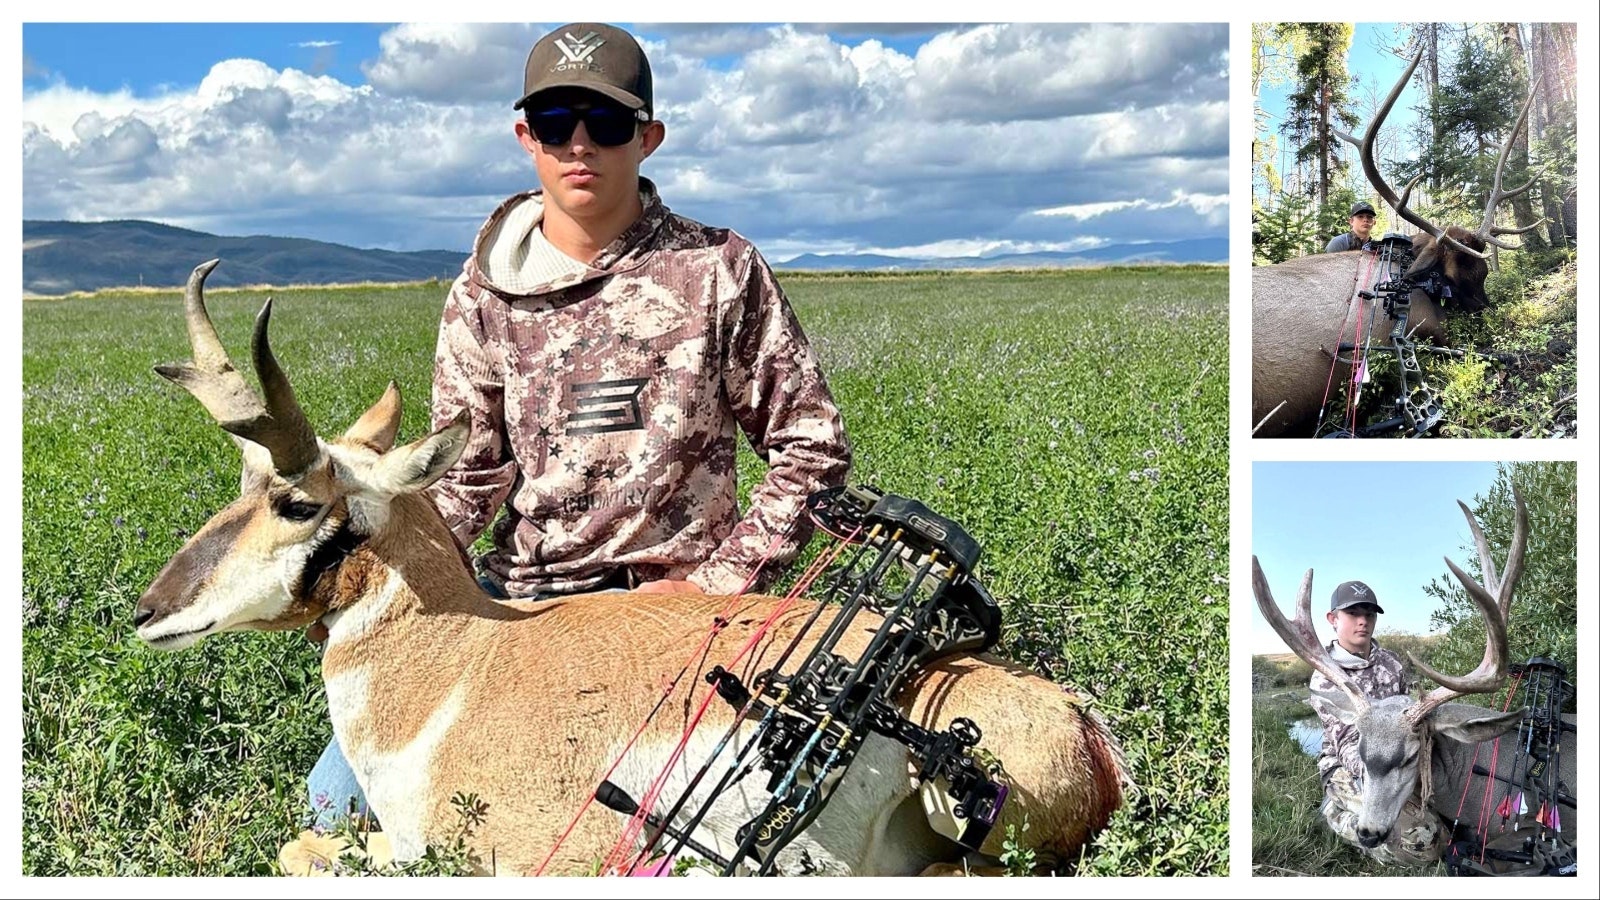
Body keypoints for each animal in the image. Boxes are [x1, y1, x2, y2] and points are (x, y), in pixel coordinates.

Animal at [137, 261, 1132, 877]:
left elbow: (303, 852)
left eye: (296, 502)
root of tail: (1079, 723)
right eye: (242, 483)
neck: (456, 666)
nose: (147, 611)